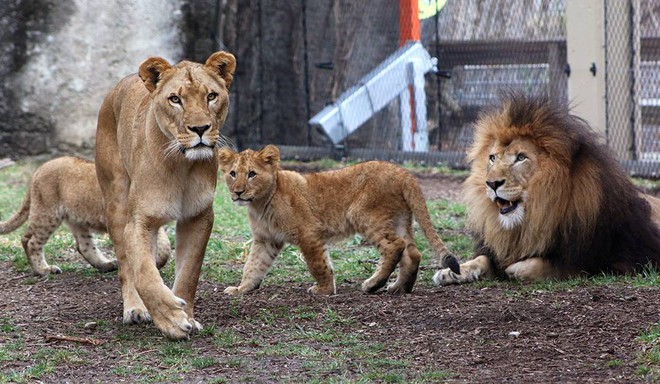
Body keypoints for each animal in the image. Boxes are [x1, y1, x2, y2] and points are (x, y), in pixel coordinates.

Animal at [0, 156, 173, 276]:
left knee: (84, 246)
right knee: (30, 241)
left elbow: (164, 245)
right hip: (47, 213)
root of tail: (39, 169)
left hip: (76, 220)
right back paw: (44, 270)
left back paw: (107, 265)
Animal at [94, 50, 236, 340]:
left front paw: (187, 317)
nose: (200, 129)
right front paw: (171, 318)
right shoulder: (139, 222)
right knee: (126, 266)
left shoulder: (198, 218)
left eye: (211, 96)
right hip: (117, 201)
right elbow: (144, 274)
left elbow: (189, 273)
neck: (183, 165)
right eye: (175, 99)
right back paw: (135, 309)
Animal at [217, 146, 458, 296]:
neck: (260, 204)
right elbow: (253, 266)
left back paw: (372, 284)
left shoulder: (309, 233)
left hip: (365, 216)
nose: (238, 192)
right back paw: (398, 288)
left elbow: (318, 264)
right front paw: (241, 289)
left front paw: (323, 290)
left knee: (394, 246)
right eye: (232, 173)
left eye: (251, 174)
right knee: (412, 253)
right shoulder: (265, 240)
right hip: (400, 219)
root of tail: (403, 172)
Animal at [434, 93, 660, 284]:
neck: (537, 214)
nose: (492, 183)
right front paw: (452, 271)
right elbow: (482, 259)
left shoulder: (610, 259)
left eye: (521, 157)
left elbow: (530, 266)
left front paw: (512, 270)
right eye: (492, 158)